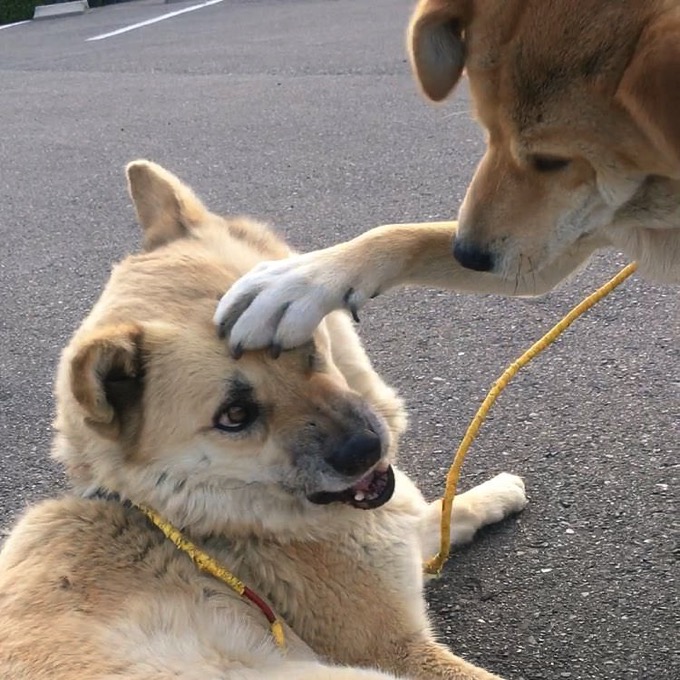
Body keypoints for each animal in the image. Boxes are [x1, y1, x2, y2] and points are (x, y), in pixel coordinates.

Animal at [0, 161, 524, 680]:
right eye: (234, 416)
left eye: (298, 342)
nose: (367, 450)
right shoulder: (395, 651)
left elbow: (444, 512)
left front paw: (496, 493)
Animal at [215, 0, 676, 356]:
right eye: (486, 131)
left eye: (550, 160)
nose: (467, 255)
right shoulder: (551, 248)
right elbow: (400, 235)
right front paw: (301, 279)